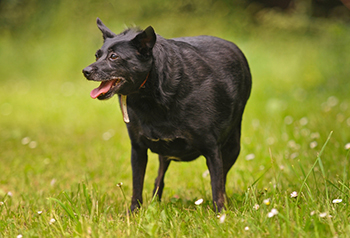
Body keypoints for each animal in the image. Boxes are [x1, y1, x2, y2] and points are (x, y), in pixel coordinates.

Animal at [82, 18, 252, 212]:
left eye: (114, 57)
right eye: (97, 55)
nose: (86, 71)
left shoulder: (212, 149)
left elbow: (217, 186)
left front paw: (220, 214)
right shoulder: (138, 149)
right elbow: (137, 185)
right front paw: (133, 212)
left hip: (233, 147)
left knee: (222, 179)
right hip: (165, 154)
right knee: (159, 179)